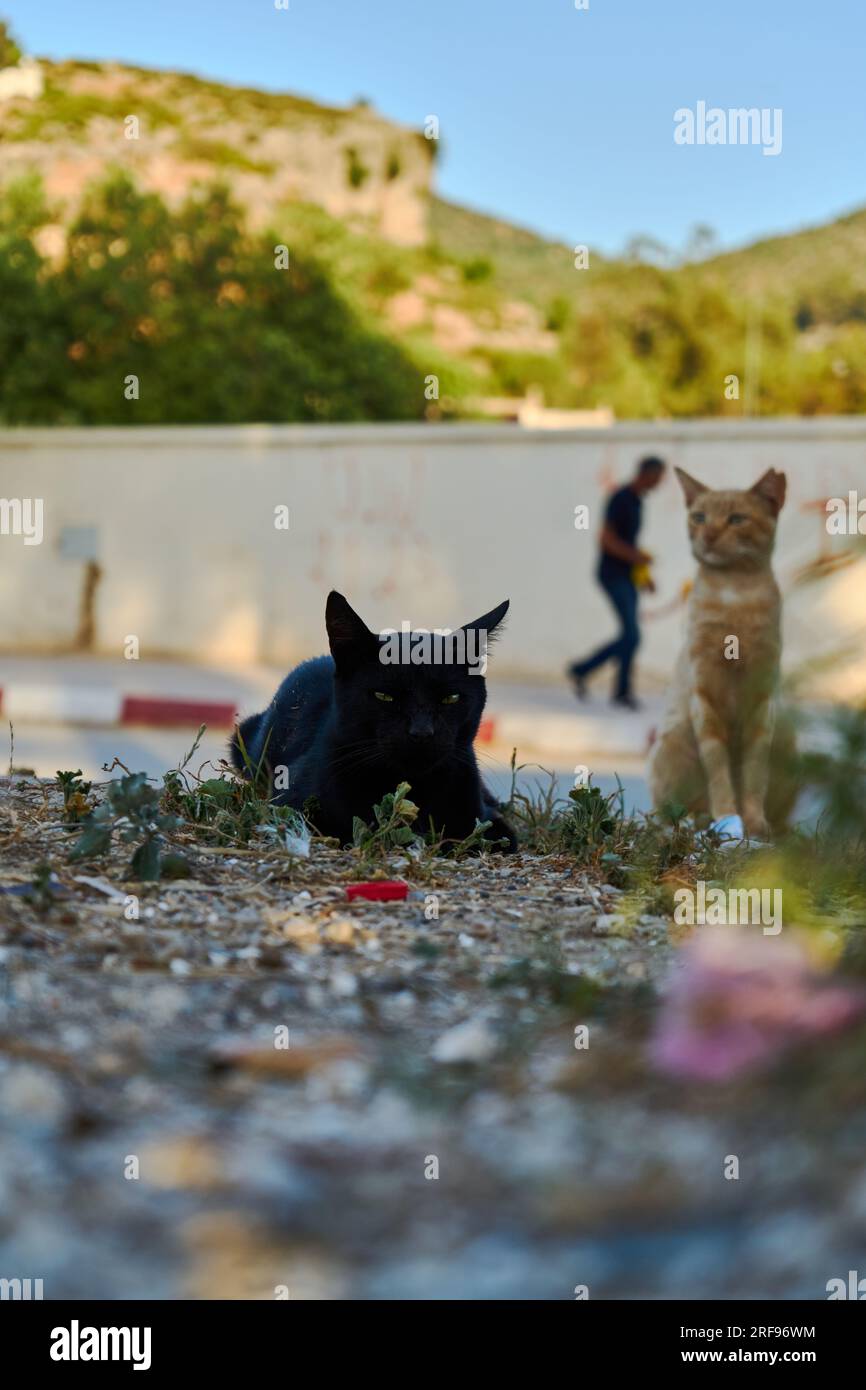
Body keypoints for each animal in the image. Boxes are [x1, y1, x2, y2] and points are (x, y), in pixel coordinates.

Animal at [229, 586, 514, 845]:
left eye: (450, 698)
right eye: (384, 696)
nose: (421, 732)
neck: (413, 790)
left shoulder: (486, 819)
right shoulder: (293, 805)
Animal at [647, 467, 795, 834]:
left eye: (736, 519)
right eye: (699, 517)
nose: (710, 533)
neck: (734, 592)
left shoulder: (761, 704)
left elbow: (754, 774)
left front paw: (753, 823)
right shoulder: (705, 699)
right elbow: (719, 772)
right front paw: (728, 817)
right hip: (672, 742)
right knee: (665, 813)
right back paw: (694, 821)